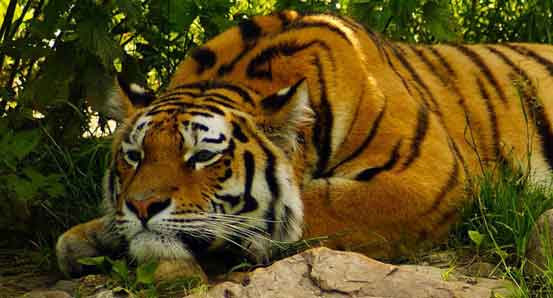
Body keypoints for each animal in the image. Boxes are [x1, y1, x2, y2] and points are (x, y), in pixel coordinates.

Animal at [55, 10, 552, 278]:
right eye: (134, 156)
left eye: (202, 156)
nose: (142, 207)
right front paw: (90, 237)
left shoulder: (427, 177)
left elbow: (322, 205)